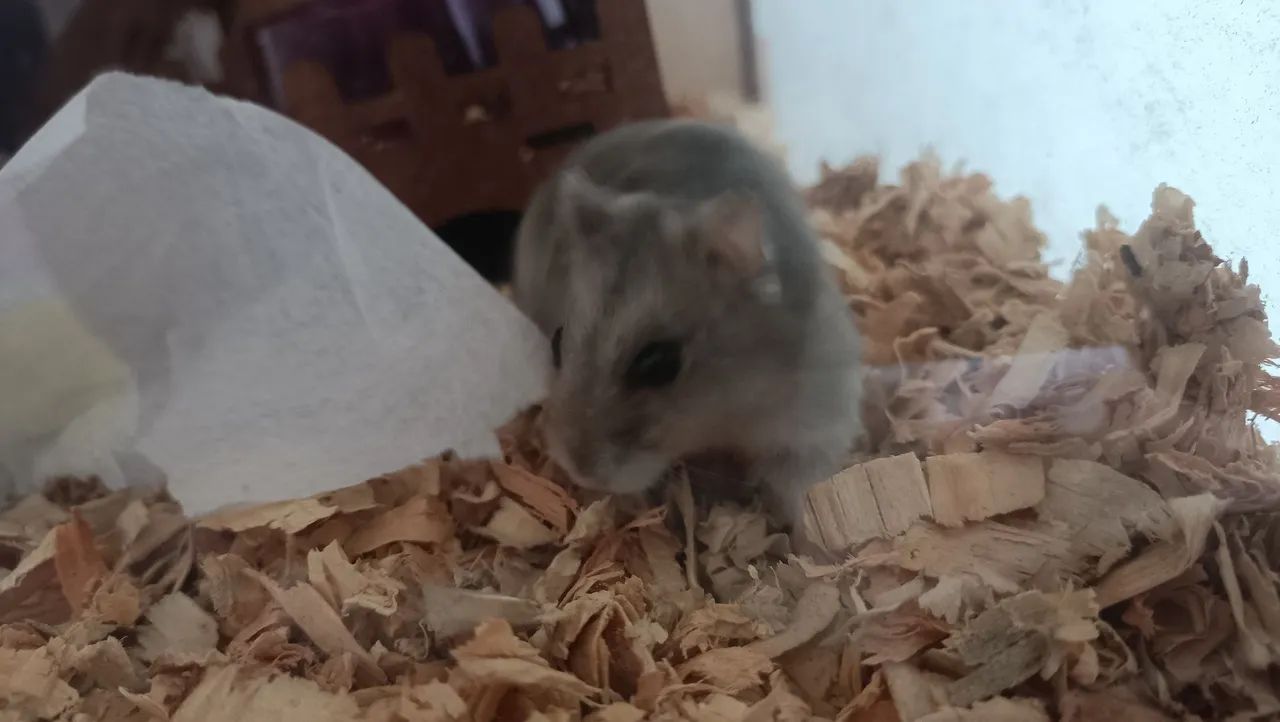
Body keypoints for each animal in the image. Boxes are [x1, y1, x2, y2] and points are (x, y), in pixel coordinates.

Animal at [512, 119, 862, 529]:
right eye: (556, 342)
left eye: (659, 364)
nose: (579, 470)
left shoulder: (816, 415)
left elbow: (798, 482)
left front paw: (805, 534)